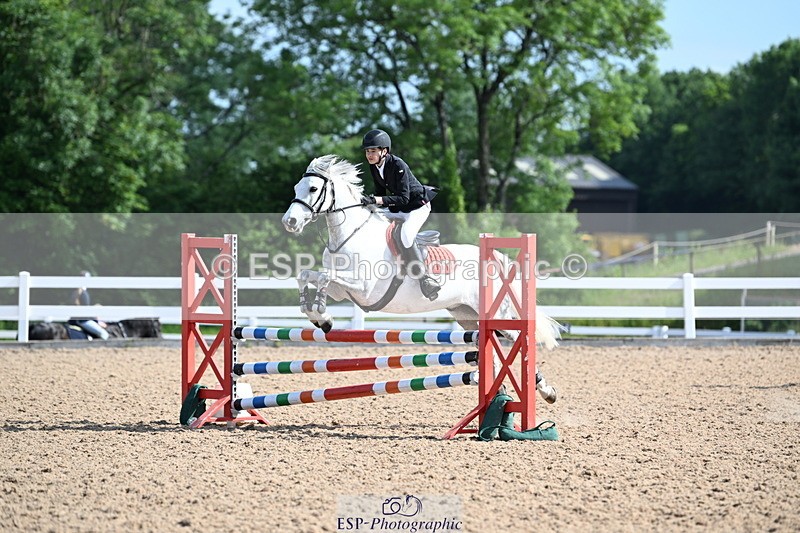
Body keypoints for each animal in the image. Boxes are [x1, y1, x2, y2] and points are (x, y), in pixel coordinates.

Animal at [281, 154, 560, 403]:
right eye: (295, 188)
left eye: (313, 188)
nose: (290, 222)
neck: (352, 235)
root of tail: (495, 259)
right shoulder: (343, 291)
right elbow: (308, 275)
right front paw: (318, 316)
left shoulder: (363, 289)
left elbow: (324, 277)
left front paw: (321, 314)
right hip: (467, 316)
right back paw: (501, 394)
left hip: (494, 314)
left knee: (516, 339)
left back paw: (545, 390)